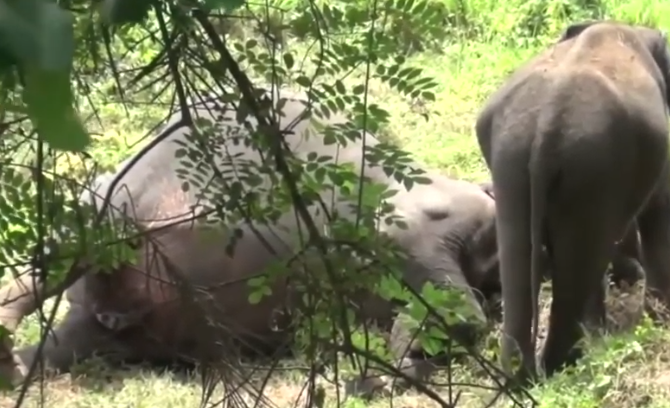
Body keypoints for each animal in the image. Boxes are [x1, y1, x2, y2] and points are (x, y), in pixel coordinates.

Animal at [0, 88, 502, 396]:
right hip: (101, 211)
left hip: (108, 312)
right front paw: (396, 366)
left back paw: (14, 364)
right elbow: (458, 310)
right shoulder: (418, 231)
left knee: (61, 337)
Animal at [476, 19, 670, 382]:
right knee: (580, 260)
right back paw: (563, 365)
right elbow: (658, 209)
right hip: (591, 165)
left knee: (521, 253)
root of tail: (546, 126)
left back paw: (521, 375)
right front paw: (659, 320)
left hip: (510, 159)